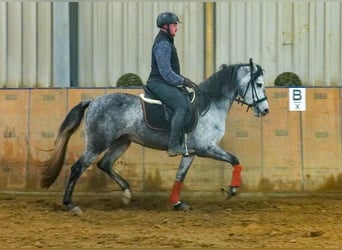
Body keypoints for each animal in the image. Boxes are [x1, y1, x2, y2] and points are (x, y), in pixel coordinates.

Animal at [40, 59, 270, 215]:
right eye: (258, 84)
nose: (265, 110)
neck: (210, 105)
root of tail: (93, 101)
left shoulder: (192, 152)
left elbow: (180, 176)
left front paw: (177, 203)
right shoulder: (207, 148)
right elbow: (234, 159)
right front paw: (231, 190)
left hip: (122, 142)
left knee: (104, 164)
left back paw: (126, 194)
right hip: (97, 143)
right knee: (78, 168)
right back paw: (71, 204)